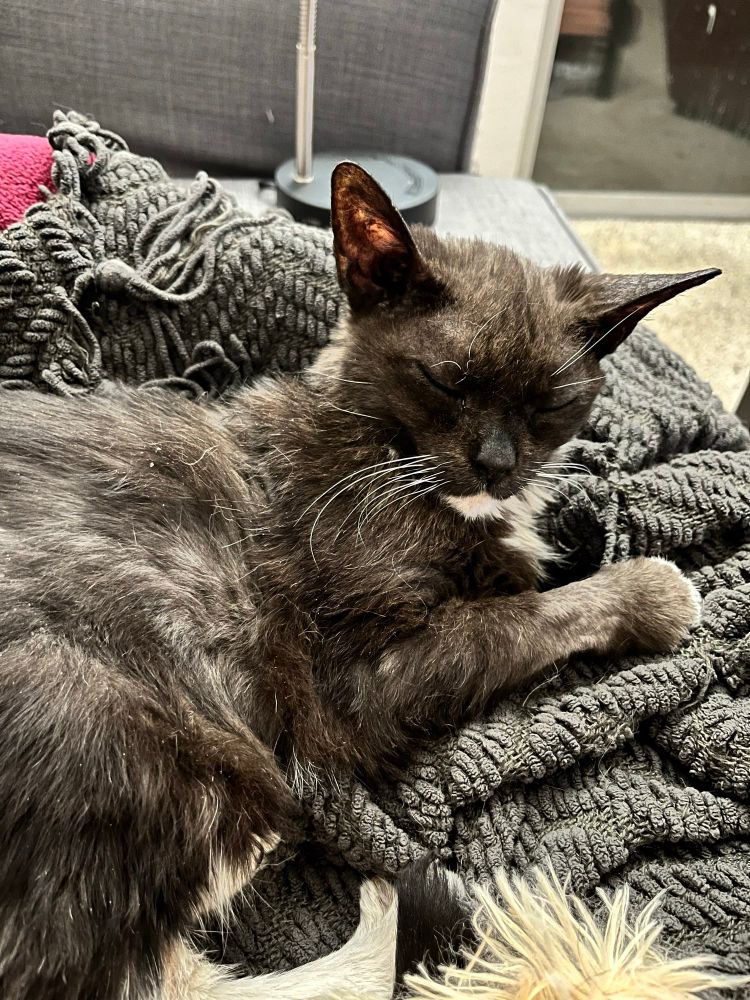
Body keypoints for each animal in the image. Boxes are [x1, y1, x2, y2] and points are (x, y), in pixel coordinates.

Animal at [0, 161, 718, 999]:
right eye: (448, 381)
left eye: (552, 403)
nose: (499, 464)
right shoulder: (357, 678)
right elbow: (522, 617)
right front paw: (654, 590)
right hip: (174, 747)